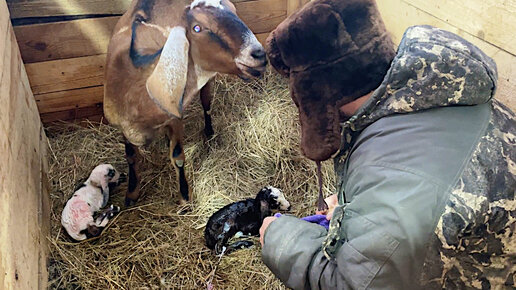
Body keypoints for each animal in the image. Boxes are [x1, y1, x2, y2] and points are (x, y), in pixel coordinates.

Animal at [104, 0, 266, 206]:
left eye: (234, 11)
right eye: (197, 28)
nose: (259, 54)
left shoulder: (175, 121)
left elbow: (178, 158)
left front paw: (184, 197)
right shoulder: (122, 127)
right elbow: (131, 157)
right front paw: (131, 194)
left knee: (206, 105)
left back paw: (209, 133)